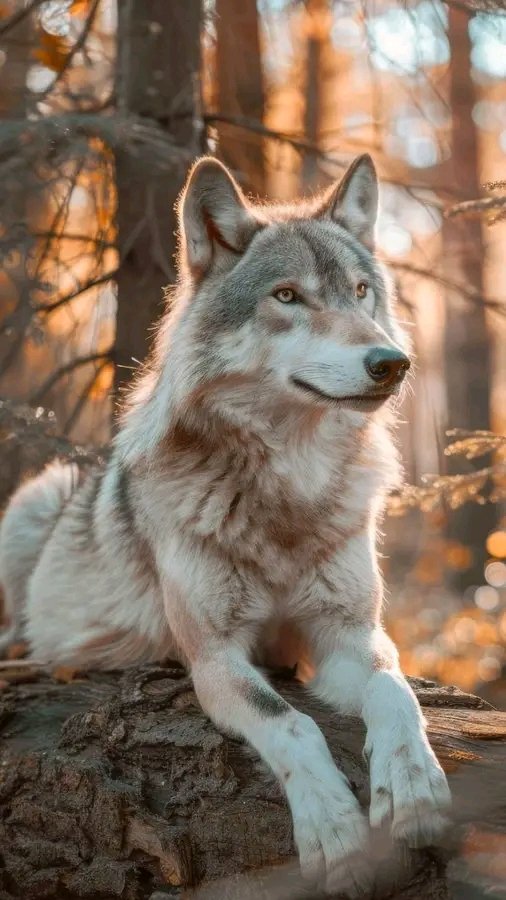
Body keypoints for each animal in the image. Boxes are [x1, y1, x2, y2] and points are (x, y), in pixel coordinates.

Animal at [0, 154, 450, 895]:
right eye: (288, 296)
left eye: (360, 292)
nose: (391, 363)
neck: (288, 490)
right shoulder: (213, 657)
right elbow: (291, 724)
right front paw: (334, 831)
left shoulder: (347, 634)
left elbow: (395, 688)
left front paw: (413, 787)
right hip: (36, 497)